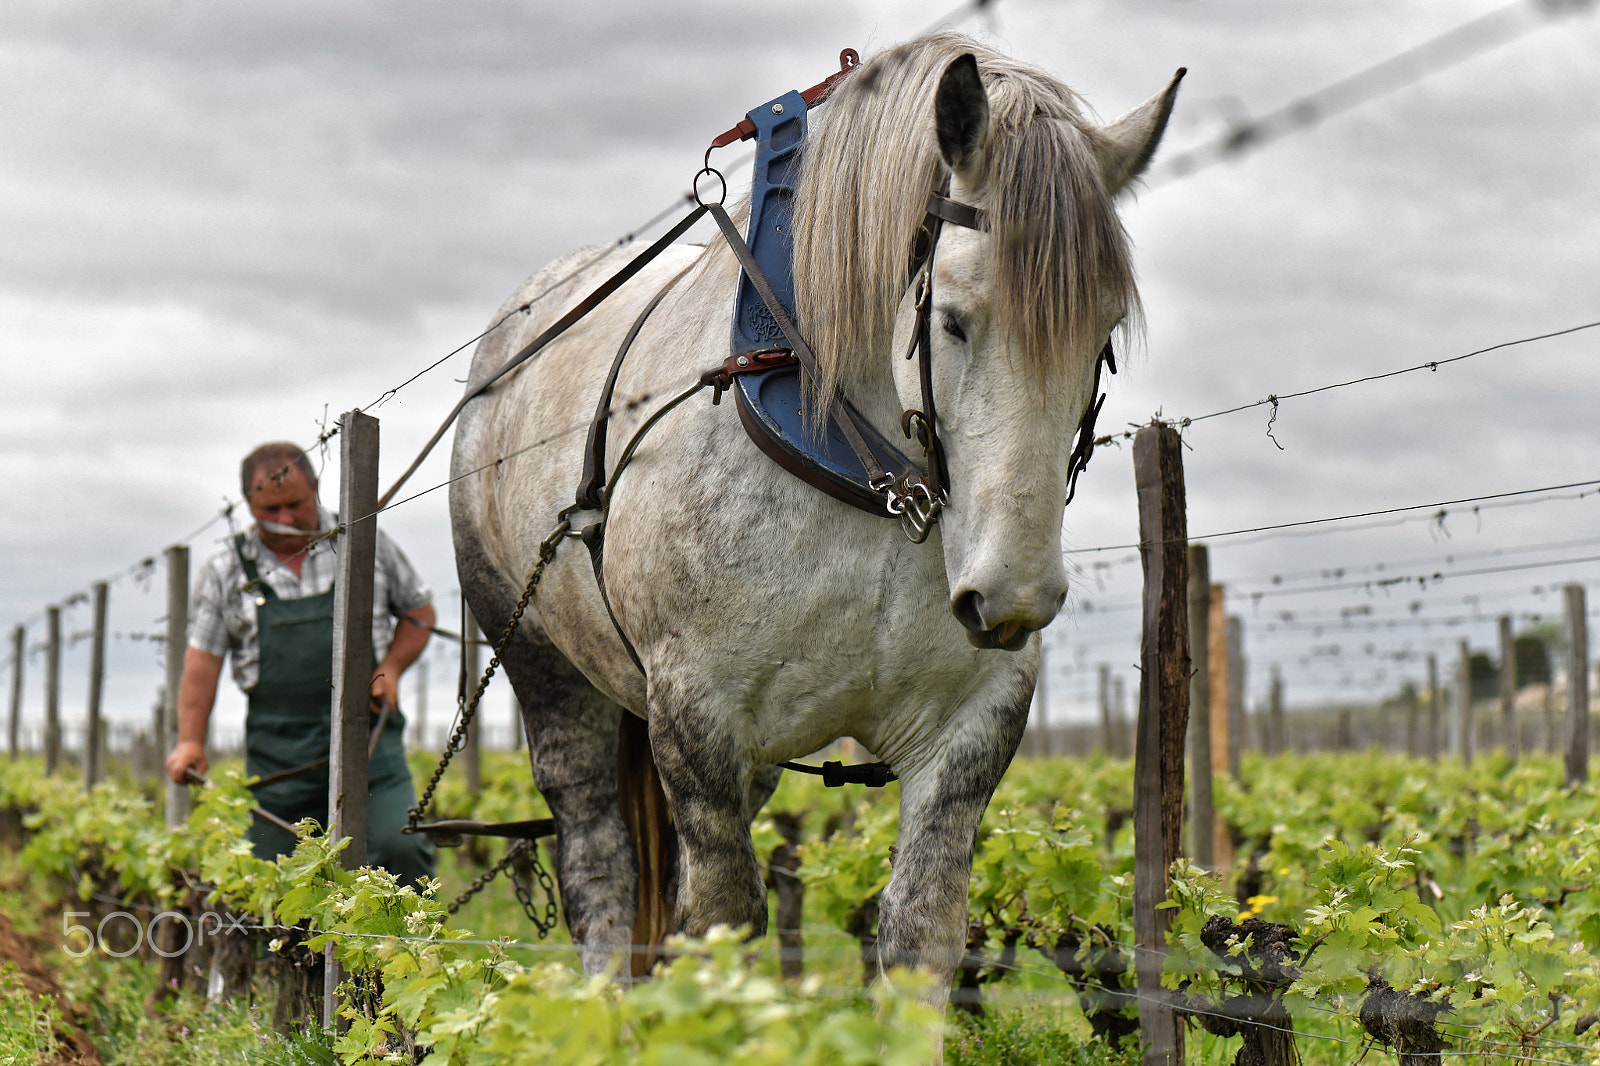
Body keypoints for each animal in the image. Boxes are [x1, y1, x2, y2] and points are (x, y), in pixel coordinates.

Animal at [448, 29, 1177, 998]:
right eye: (953, 319)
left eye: (1103, 333)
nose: (1012, 597)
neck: (870, 484)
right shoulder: (696, 714)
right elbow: (725, 922)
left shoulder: (971, 724)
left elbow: (918, 933)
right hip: (542, 661)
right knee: (597, 859)